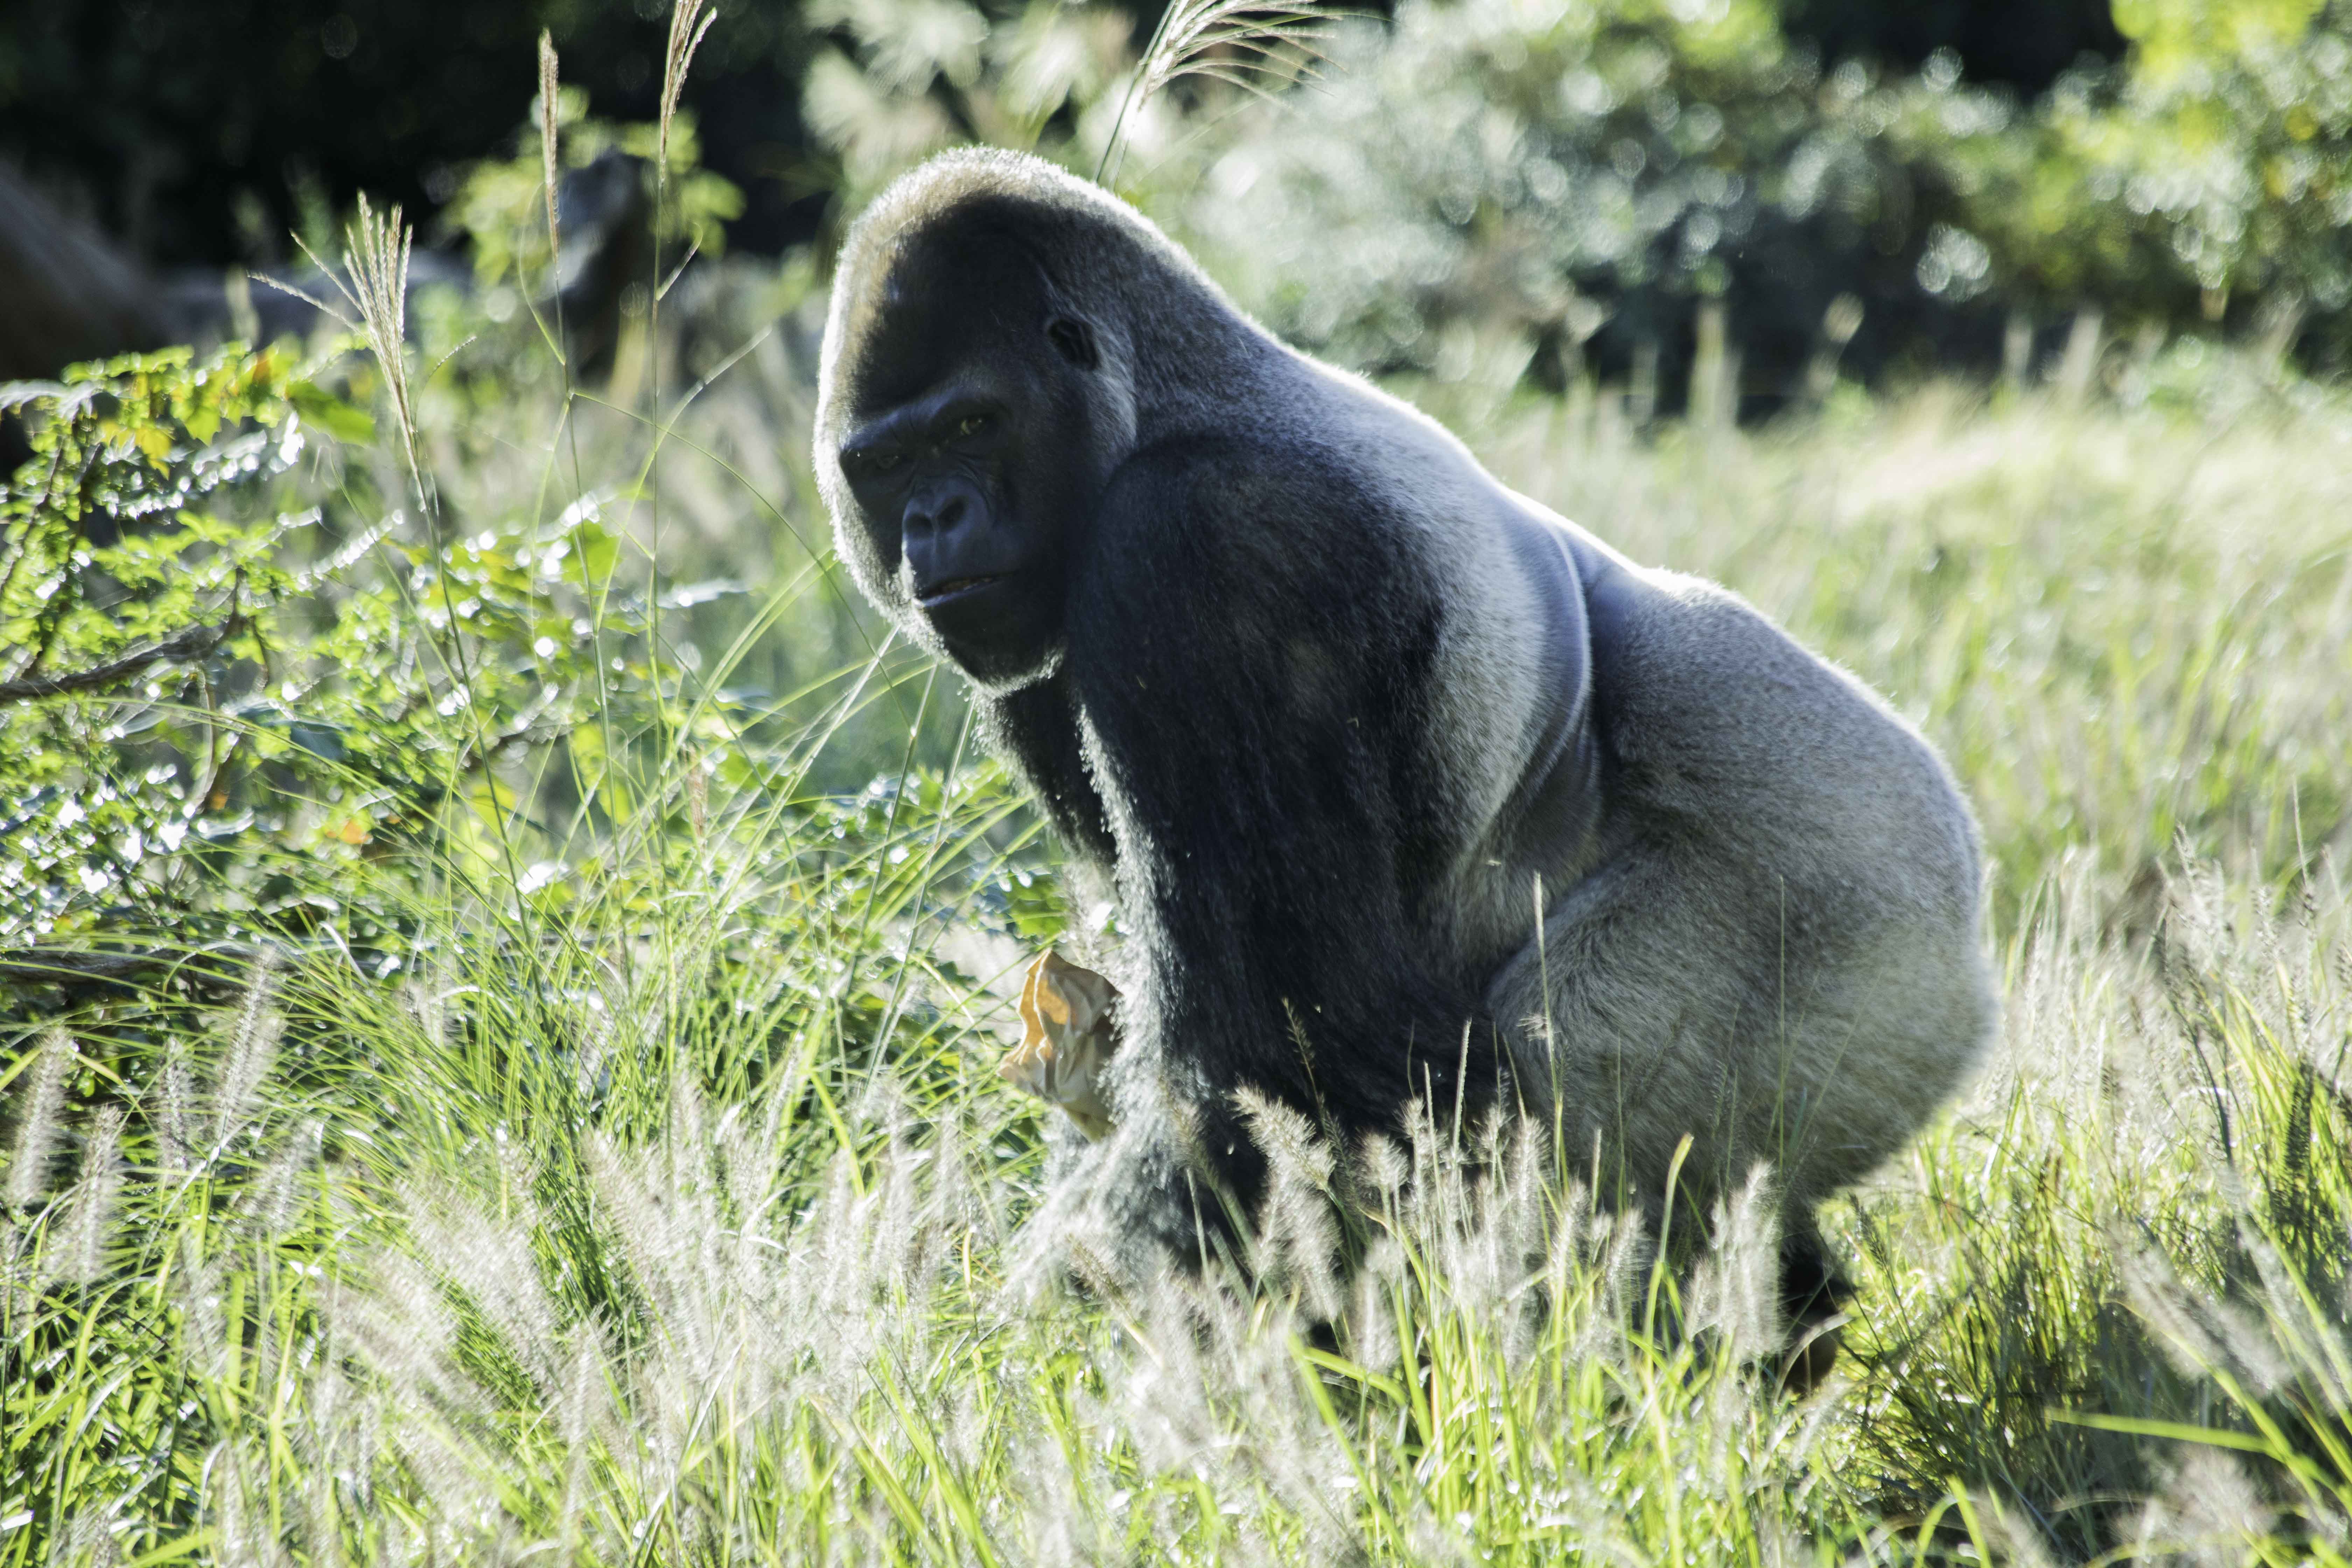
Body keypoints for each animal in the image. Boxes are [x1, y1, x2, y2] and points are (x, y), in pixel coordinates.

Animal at [812, 148, 1994, 1349]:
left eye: (973, 428)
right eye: (886, 460)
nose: (934, 521)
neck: (1160, 403)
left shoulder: (1190, 544)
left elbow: (1257, 1058)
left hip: (1865, 926)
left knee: (1578, 1064)